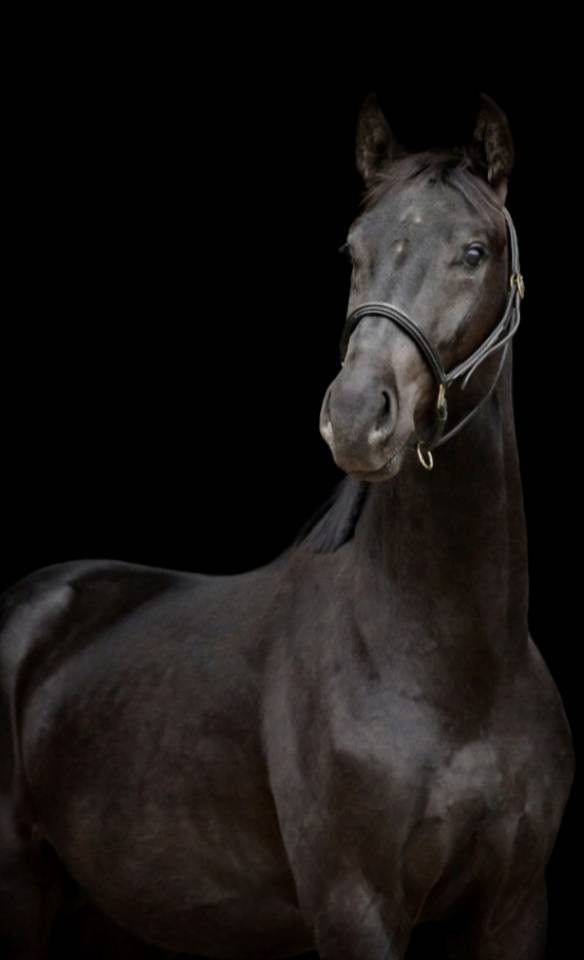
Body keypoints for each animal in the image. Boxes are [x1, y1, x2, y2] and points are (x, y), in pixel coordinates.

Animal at [0, 91, 574, 960]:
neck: (454, 674)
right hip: (23, 886)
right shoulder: (355, 908)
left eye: (474, 251)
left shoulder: (515, 908)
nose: (357, 416)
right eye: (352, 248)